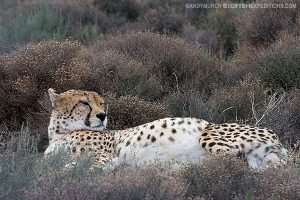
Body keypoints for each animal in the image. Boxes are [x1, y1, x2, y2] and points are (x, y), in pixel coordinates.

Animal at [44, 88, 286, 169]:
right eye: (84, 103)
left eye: (102, 104)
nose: (103, 116)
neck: (60, 135)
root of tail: (276, 136)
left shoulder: (104, 155)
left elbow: (80, 169)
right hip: (260, 161)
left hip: (208, 133)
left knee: (231, 160)